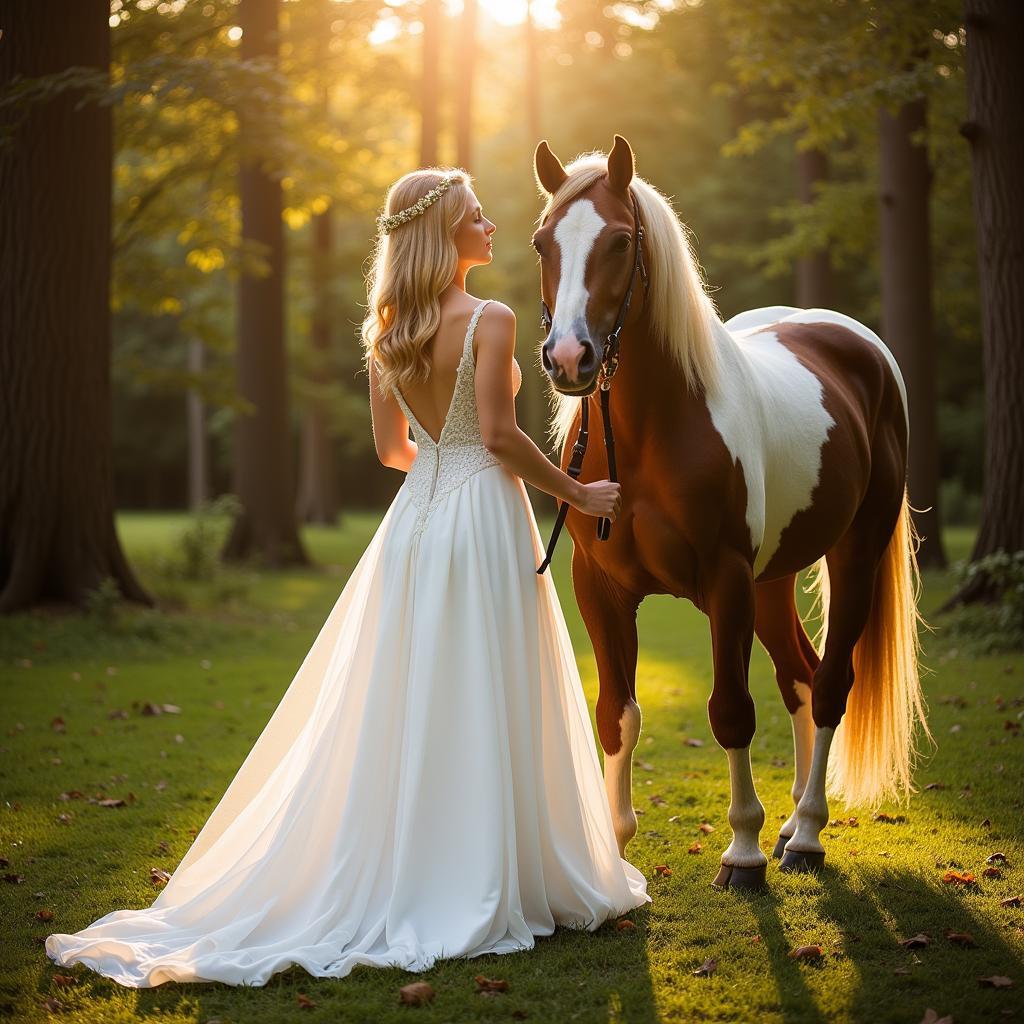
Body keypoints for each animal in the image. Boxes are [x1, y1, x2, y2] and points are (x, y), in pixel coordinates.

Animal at [532, 134, 933, 888]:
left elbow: (730, 711)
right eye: (544, 242)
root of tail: (858, 345)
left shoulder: (725, 583)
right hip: (772, 581)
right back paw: (792, 827)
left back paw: (806, 835)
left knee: (829, 685)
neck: (652, 429)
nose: (569, 358)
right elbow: (616, 714)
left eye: (621, 241)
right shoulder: (600, 588)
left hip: (852, 555)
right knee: (801, 677)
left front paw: (741, 851)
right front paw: (616, 856)